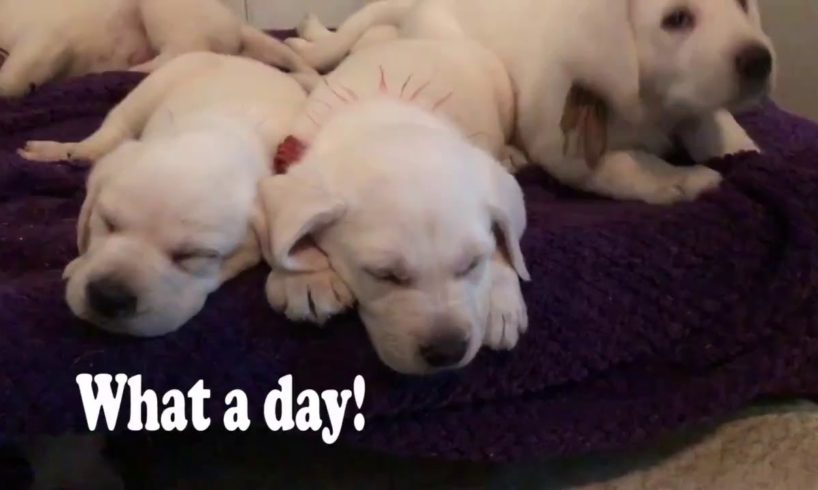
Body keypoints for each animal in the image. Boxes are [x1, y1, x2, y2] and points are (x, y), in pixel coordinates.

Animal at [18, 52, 306, 336]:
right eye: (108, 222)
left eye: (194, 255)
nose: (108, 298)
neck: (223, 131)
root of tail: (246, 59)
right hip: (152, 87)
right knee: (109, 132)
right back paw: (62, 150)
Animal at [260, 39, 528, 376]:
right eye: (384, 275)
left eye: (471, 264)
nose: (447, 352)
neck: (382, 118)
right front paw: (306, 278)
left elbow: (506, 238)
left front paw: (502, 299)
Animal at [290, 0, 776, 205]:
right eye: (676, 19)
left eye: (743, 3)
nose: (761, 61)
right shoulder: (570, 154)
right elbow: (629, 167)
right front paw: (684, 179)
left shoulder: (692, 106)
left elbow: (715, 123)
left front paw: (742, 147)